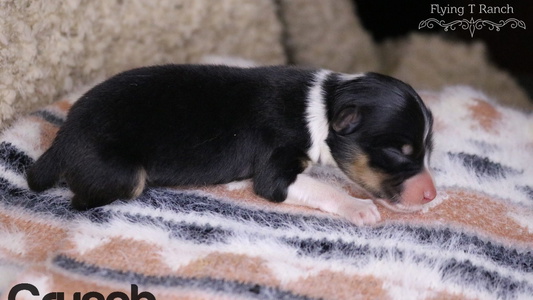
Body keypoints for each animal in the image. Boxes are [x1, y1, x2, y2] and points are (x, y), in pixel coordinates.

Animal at [27, 65, 436, 225]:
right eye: (398, 151)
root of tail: (62, 138)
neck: (323, 105)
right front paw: (358, 207)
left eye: (426, 150)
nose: (433, 195)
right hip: (124, 175)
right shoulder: (276, 169)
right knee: (82, 200)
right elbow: (319, 187)